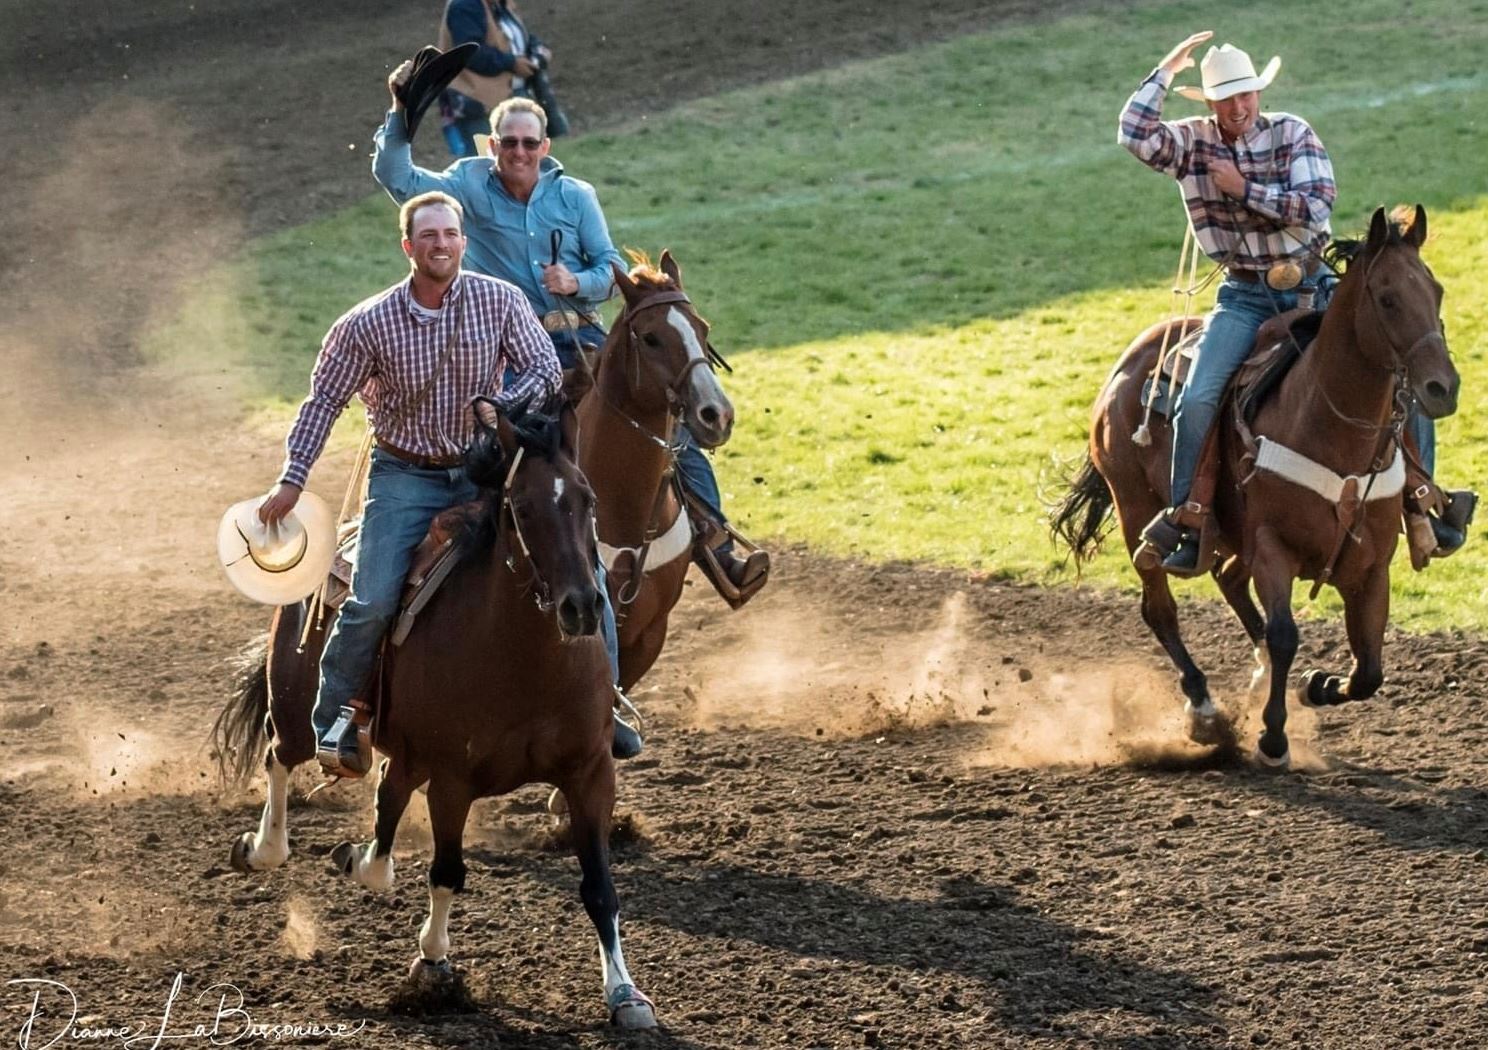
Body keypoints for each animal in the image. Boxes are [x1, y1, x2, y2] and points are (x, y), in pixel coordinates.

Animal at [212, 398, 654, 1023]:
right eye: (521, 507)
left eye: (587, 499)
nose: (582, 607)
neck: (526, 663)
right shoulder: (452, 781)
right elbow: (447, 872)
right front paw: (433, 966)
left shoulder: (590, 772)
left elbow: (599, 887)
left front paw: (625, 993)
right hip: (299, 707)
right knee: (282, 753)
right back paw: (264, 849)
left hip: (407, 749)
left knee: (389, 789)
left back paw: (362, 857)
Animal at [1053, 205, 1458, 767]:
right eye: (1387, 298)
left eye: (1435, 290)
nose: (1443, 388)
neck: (1331, 430)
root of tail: (1130, 361)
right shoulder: (1272, 546)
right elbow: (1287, 634)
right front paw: (1272, 737)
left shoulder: (1372, 565)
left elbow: (1369, 669)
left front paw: (1317, 685)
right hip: (1136, 508)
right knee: (1161, 608)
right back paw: (1204, 710)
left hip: (1229, 533)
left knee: (1227, 578)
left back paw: (1260, 674)